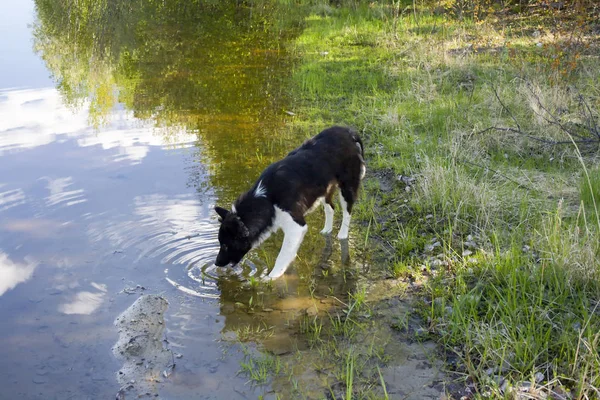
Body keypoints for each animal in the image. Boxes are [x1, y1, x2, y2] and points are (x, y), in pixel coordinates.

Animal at [216, 126, 366, 280]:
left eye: (226, 245)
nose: (216, 263)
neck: (266, 199)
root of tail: (348, 131)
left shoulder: (296, 225)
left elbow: (282, 255)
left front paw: (271, 277)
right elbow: (290, 252)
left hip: (347, 186)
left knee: (347, 211)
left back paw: (342, 234)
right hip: (324, 189)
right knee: (331, 208)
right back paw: (326, 230)